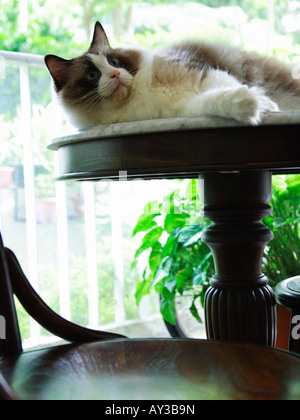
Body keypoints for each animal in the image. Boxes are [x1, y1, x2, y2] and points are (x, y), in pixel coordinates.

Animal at [44, 20, 300, 128]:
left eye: (113, 62)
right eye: (92, 76)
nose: (115, 74)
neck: (140, 94)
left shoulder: (202, 73)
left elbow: (229, 87)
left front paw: (266, 106)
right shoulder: (186, 108)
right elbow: (220, 100)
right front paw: (251, 106)